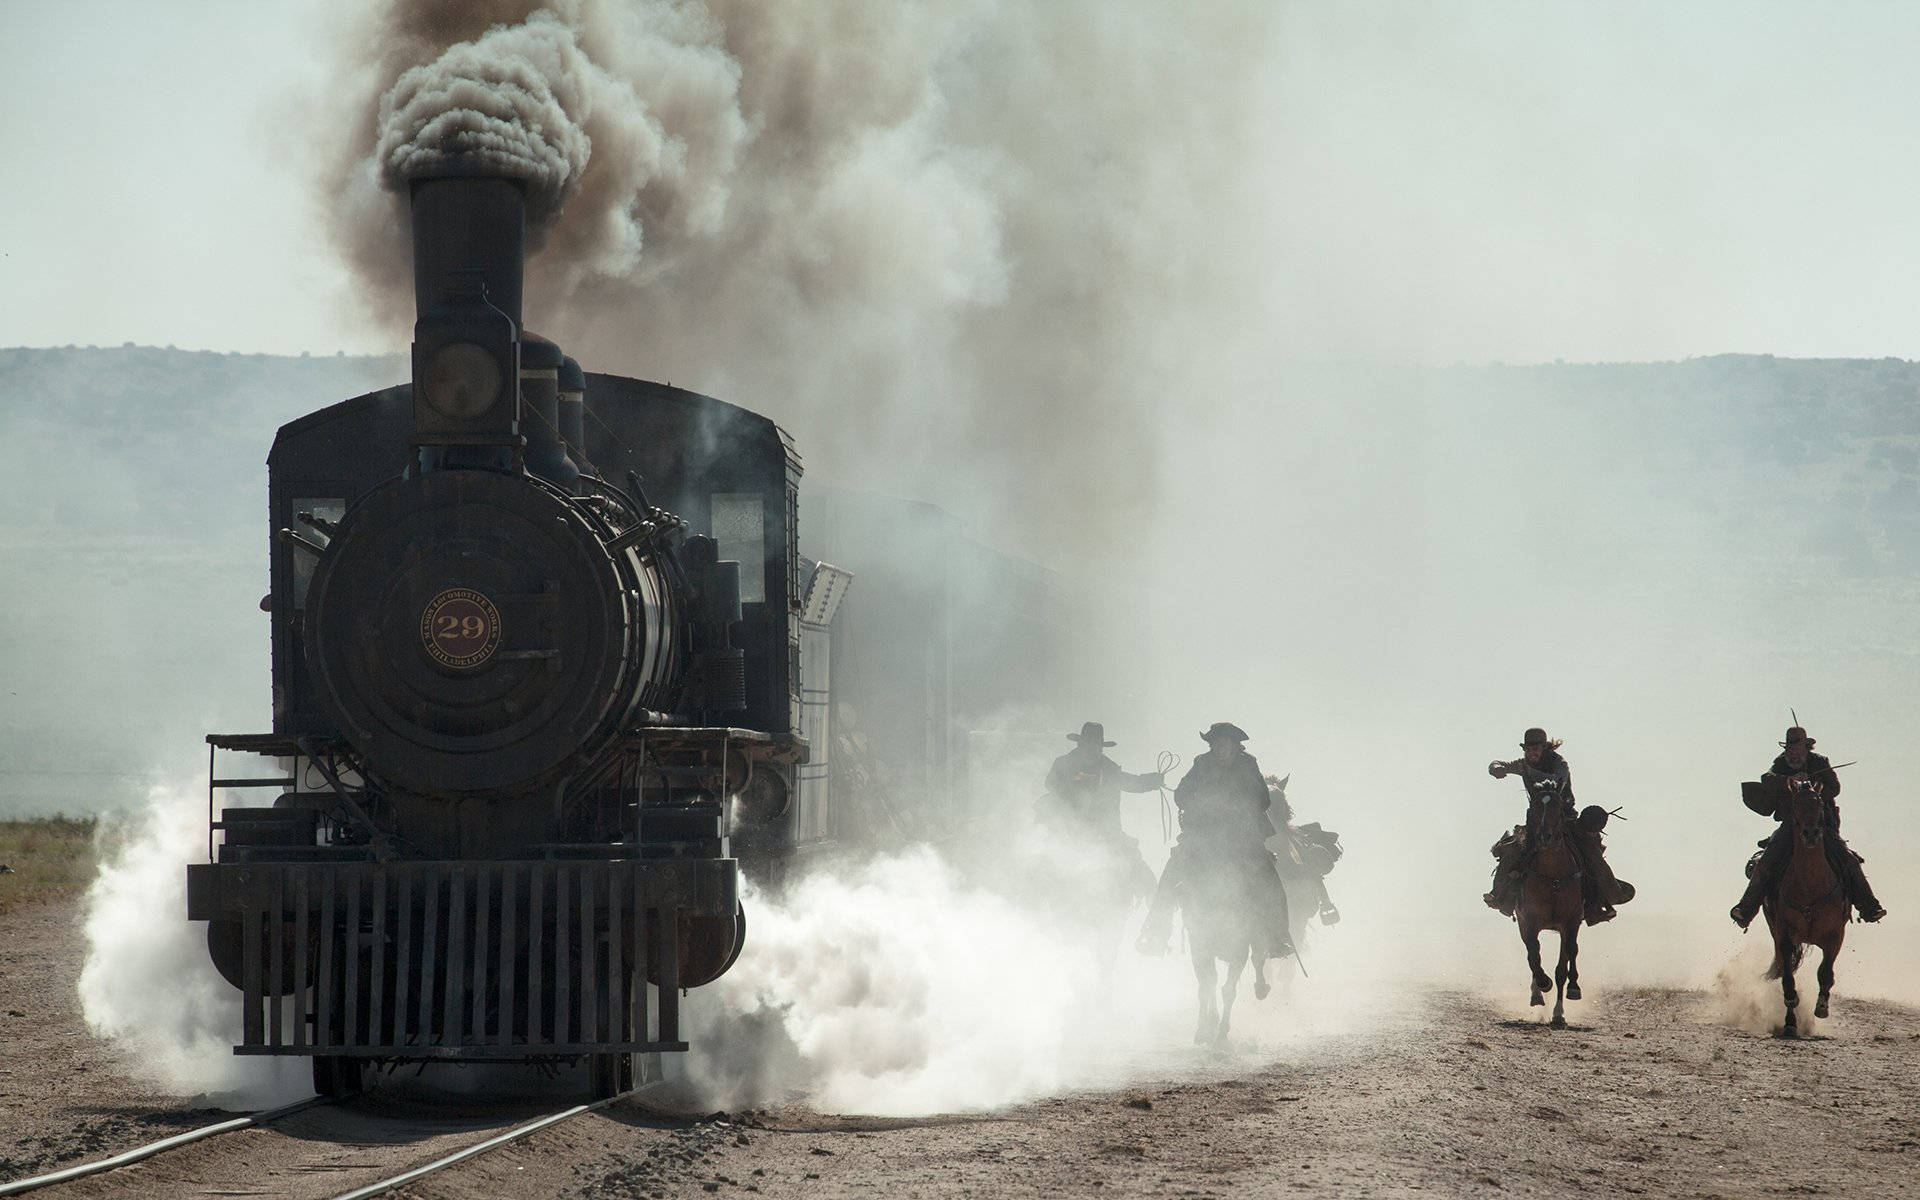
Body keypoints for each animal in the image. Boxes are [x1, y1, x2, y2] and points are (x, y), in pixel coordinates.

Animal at [1520, 791, 1582, 1021]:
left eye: (1557, 808)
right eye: (1535, 807)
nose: (1544, 837)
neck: (1553, 874)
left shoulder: (1570, 923)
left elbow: (1562, 968)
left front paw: (1559, 1012)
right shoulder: (1528, 921)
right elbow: (1533, 954)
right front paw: (1542, 983)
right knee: (1533, 953)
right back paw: (1537, 993)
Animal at [1758, 771, 1850, 1036]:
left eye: (1818, 803)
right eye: (1796, 805)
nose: (1811, 834)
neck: (1810, 884)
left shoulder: (1835, 936)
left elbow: (1825, 973)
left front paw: (1822, 1008)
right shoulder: (1785, 937)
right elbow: (1788, 980)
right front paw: (1790, 1020)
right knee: (1783, 970)